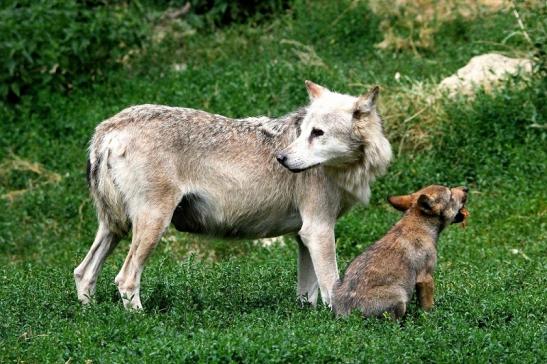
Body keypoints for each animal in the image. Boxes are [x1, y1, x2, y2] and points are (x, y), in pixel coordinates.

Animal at [75, 81, 392, 308]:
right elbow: (331, 288)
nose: (281, 159)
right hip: (152, 224)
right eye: (305, 132)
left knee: (83, 272)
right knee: (125, 278)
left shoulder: (304, 236)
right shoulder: (318, 230)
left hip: (114, 227)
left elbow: (307, 295)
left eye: (317, 133)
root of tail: (108, 128)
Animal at [332, 186, 468, 318]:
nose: (466, 188)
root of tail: (346, 314)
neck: (421, 226)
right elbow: (428, 307)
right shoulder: (426, 278)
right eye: (451, 195)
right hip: (400, 295)